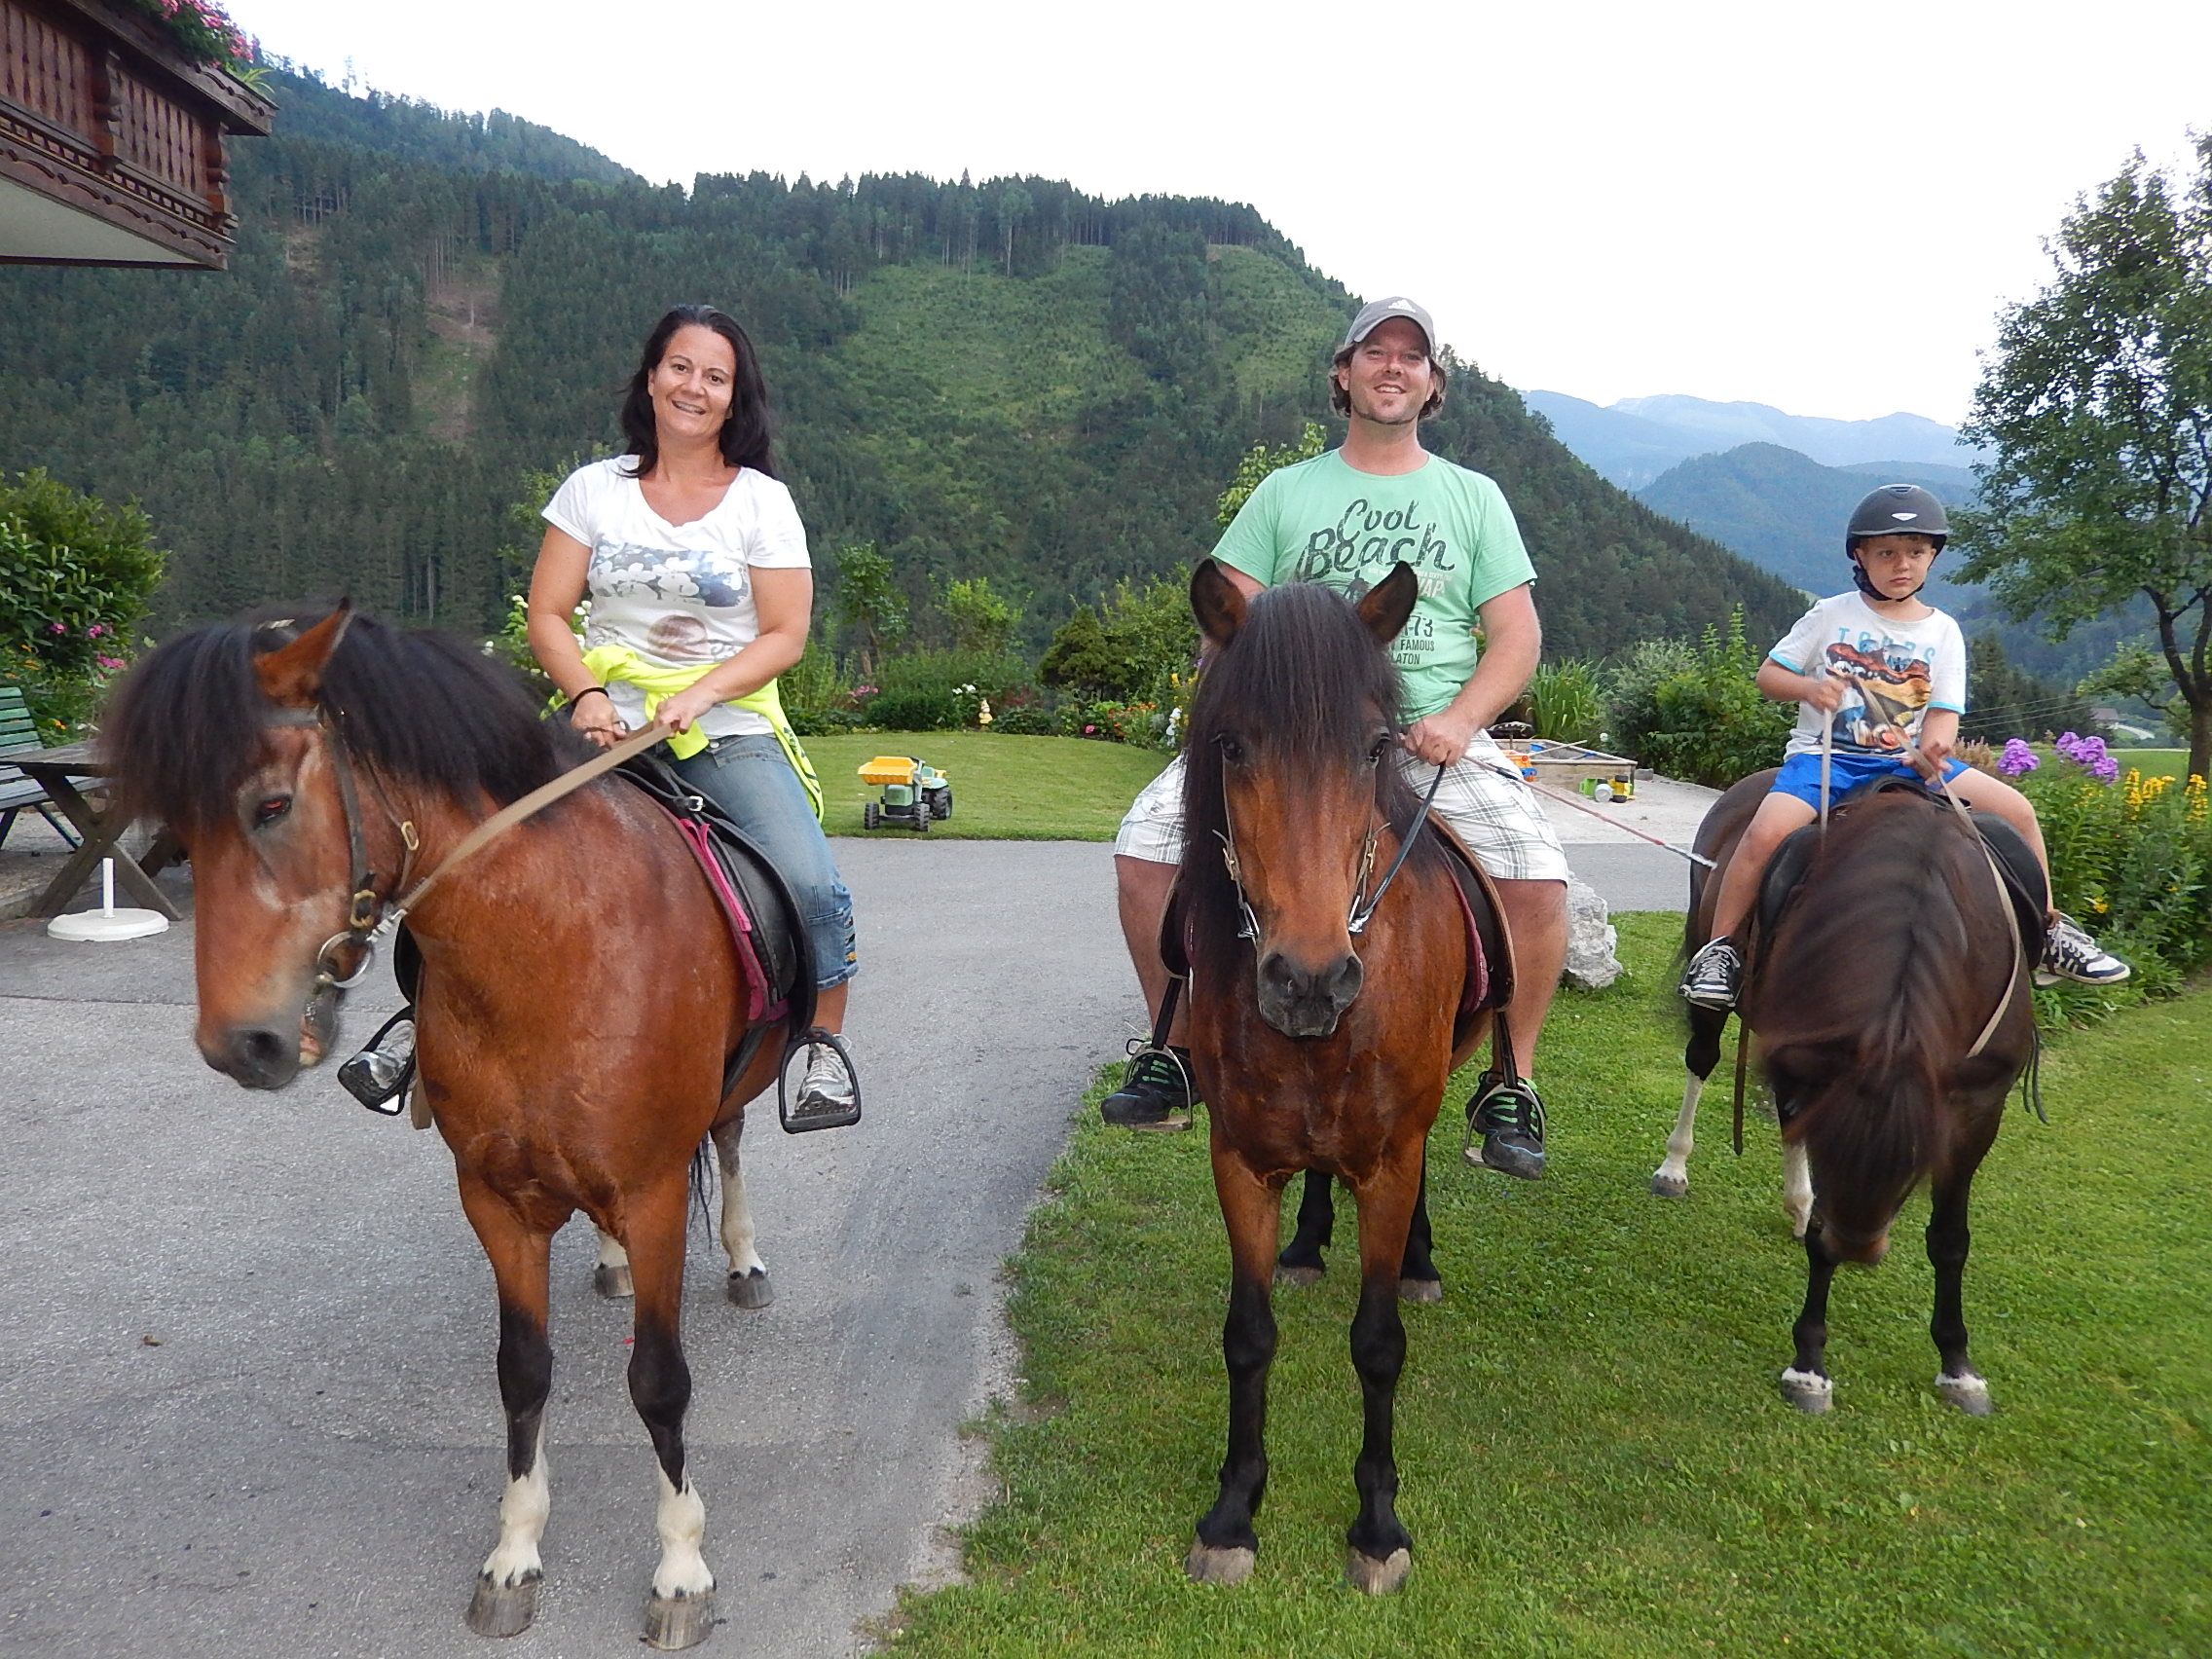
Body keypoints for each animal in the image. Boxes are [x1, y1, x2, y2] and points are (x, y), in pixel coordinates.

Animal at [103, 606, 791, 1648]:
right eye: (176, 832)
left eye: (271, 805)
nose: (241, 1044)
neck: (551, 947)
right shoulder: (493, 1197)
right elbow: (522, 1373)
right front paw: (514, 1554)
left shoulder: (653, 1190)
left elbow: (660, 1382)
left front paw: (681, 1570)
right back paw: (612, 1262)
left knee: (733, 1136)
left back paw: (743, 1258)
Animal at [1175, 559, 1488, 1595]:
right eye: (1232, 745)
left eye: (1375, 747)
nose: (1310, 980)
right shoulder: (1239, 1160)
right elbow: (1247, 1336)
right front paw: (1234, 1512)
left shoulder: (1390, 1160)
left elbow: (1379, 1344)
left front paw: (1377, 1525)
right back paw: (1310, 1243)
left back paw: (1420, 1261)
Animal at [1656, 776, 2036, 1416]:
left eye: (1916, 1164)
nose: (1859, 1247)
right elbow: (1820, 1225)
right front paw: (1809, 1366)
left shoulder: (1979, 1106)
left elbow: (1950, 1239)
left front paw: (1958, 1366)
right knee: (1702, 1061)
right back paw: (1675, 1167)